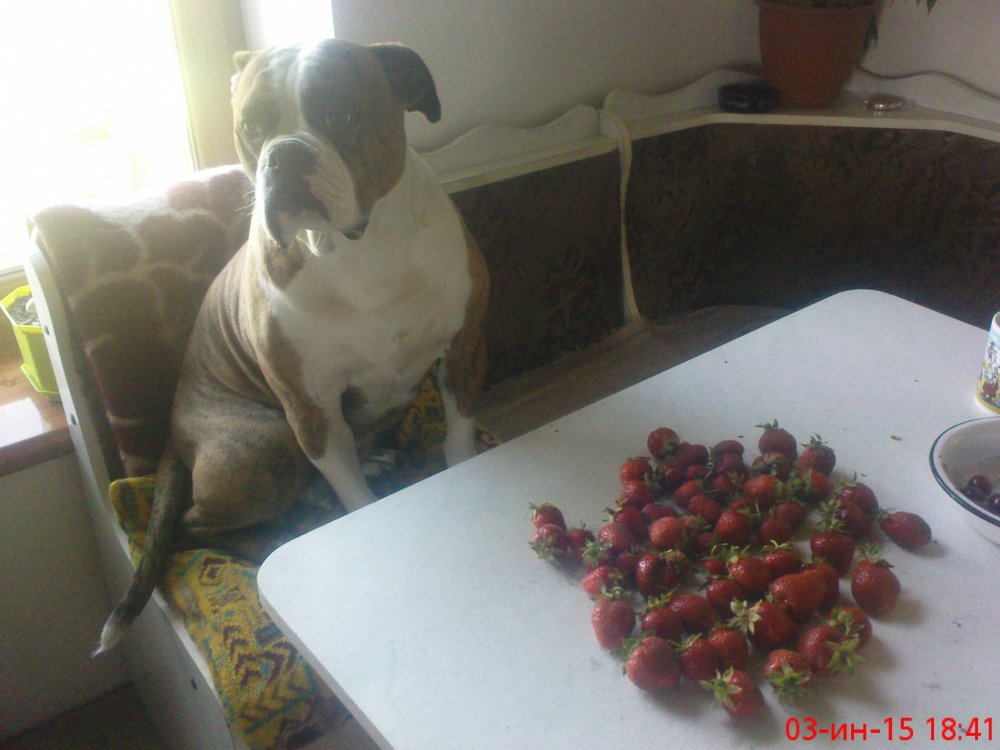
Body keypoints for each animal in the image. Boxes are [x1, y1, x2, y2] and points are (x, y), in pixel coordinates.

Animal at [96, 39, 488, 653]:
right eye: (251, 128)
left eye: (341, 115)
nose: (282, 155)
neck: (361, 252)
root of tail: (172, 442)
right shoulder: (311, 410)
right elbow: (351, 492)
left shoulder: (464, 350)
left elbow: (458, 437)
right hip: (264, 440)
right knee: (194, 526)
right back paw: (266, 545)